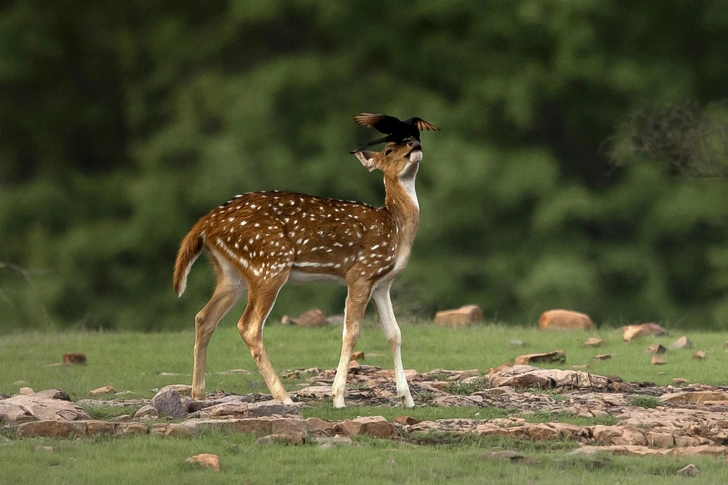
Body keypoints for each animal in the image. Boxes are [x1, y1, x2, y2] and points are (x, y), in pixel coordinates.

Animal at [174, 138, 424, 406]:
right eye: (388, 149)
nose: (414, 143)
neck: (395, 229)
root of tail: (205, 224)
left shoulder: (382, 283)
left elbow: (394, 333)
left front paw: (407, 399)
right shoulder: (361, 272)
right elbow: (351, 332)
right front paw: (338, 398)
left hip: (232, 274)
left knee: (204, 317)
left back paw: (198, 393)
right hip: (270, 263)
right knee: (249, 326)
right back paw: (284, 397)